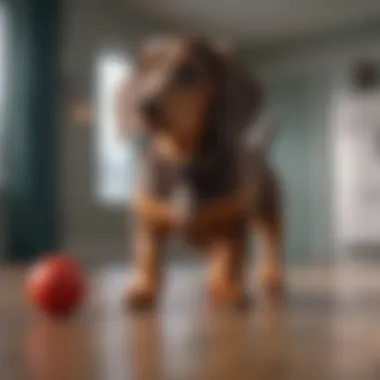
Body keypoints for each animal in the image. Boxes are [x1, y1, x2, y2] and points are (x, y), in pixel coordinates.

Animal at [117, 35, 284, 308]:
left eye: (188, 73)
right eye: (146, 70)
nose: (145, 105)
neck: (183, 160)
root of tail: (258, 150)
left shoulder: (232, 221)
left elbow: (232, 257)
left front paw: (231, 289)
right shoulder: (147, 220)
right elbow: (147, 255)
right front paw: (144, 288)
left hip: (270, 211)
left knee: (271, 242)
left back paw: (271, 276)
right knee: (213, 254)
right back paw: (213, 280)